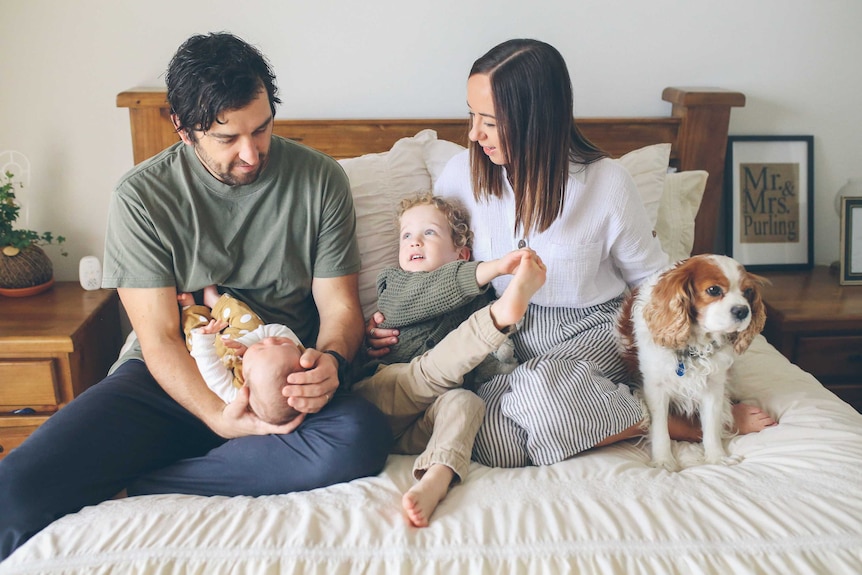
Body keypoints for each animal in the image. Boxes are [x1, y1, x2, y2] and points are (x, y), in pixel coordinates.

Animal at [620, 254, 768, 470]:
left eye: (748, 292)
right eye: (713, 290)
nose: (742, 310)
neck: (695, 345)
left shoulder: (713, 387)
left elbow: (711, 425)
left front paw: (717, 457)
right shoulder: (655, 388)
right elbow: (661, 428)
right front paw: (664, 460)